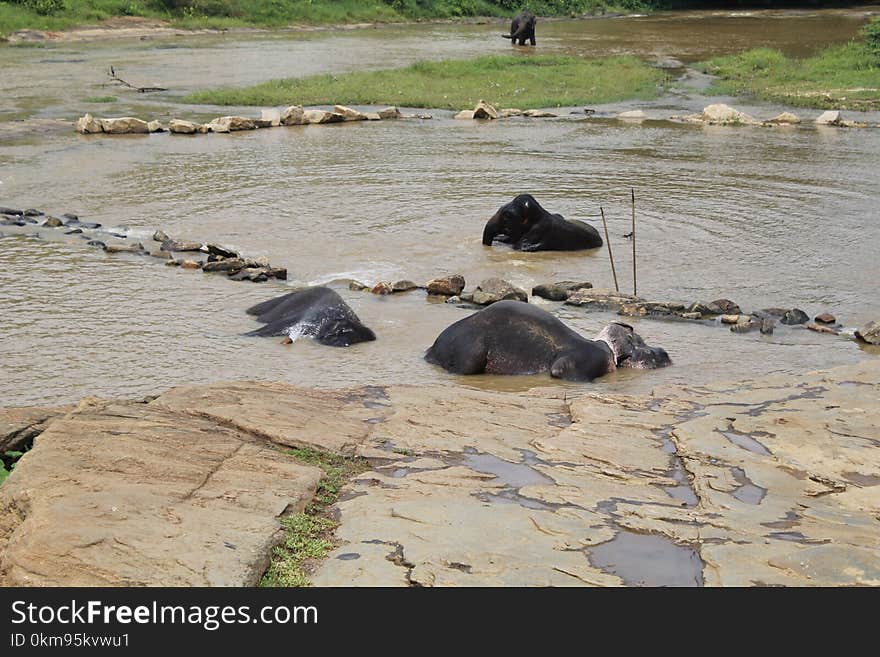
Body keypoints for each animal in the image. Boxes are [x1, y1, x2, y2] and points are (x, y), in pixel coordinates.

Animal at [422, 302, 672, 382]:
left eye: (641, 339)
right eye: (648, 352)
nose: (665, 352)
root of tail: (432, 351)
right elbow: (559, 370)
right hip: (471, 354)